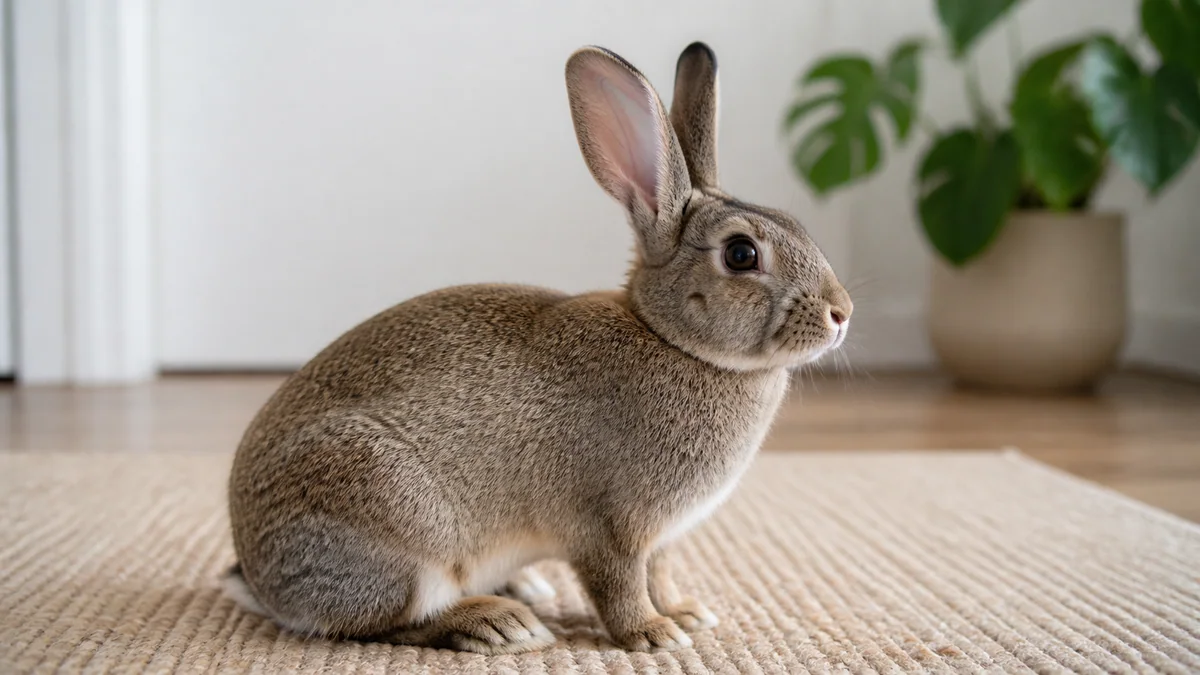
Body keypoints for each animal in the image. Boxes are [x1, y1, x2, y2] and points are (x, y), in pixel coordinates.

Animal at [224, 41, 853, 655]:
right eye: (742, 254)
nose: (841, 313)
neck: (671, 338)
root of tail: (258, 576)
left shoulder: (662, 538)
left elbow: (661, 573)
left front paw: (685, 613)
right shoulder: (609, 525)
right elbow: (619, 584)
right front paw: (653, 634)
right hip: (396, 524)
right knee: (380, 623)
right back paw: (499, 623)